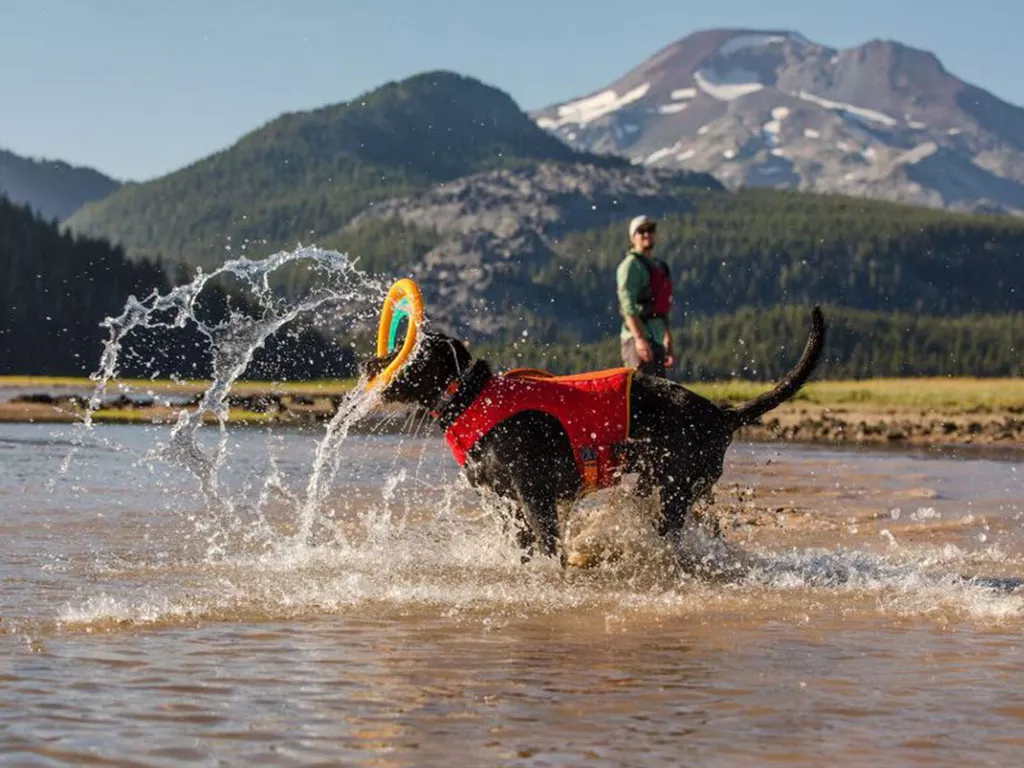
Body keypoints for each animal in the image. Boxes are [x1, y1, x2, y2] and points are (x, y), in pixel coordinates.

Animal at [364, 309, 827, 565]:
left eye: (411, 349)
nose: (370, 362)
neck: (472, 398)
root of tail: (721, 415)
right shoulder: (504, 501)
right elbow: (523, 544)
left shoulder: (533, 494)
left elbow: (548, 543)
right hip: (668, 487)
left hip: (673, 491)